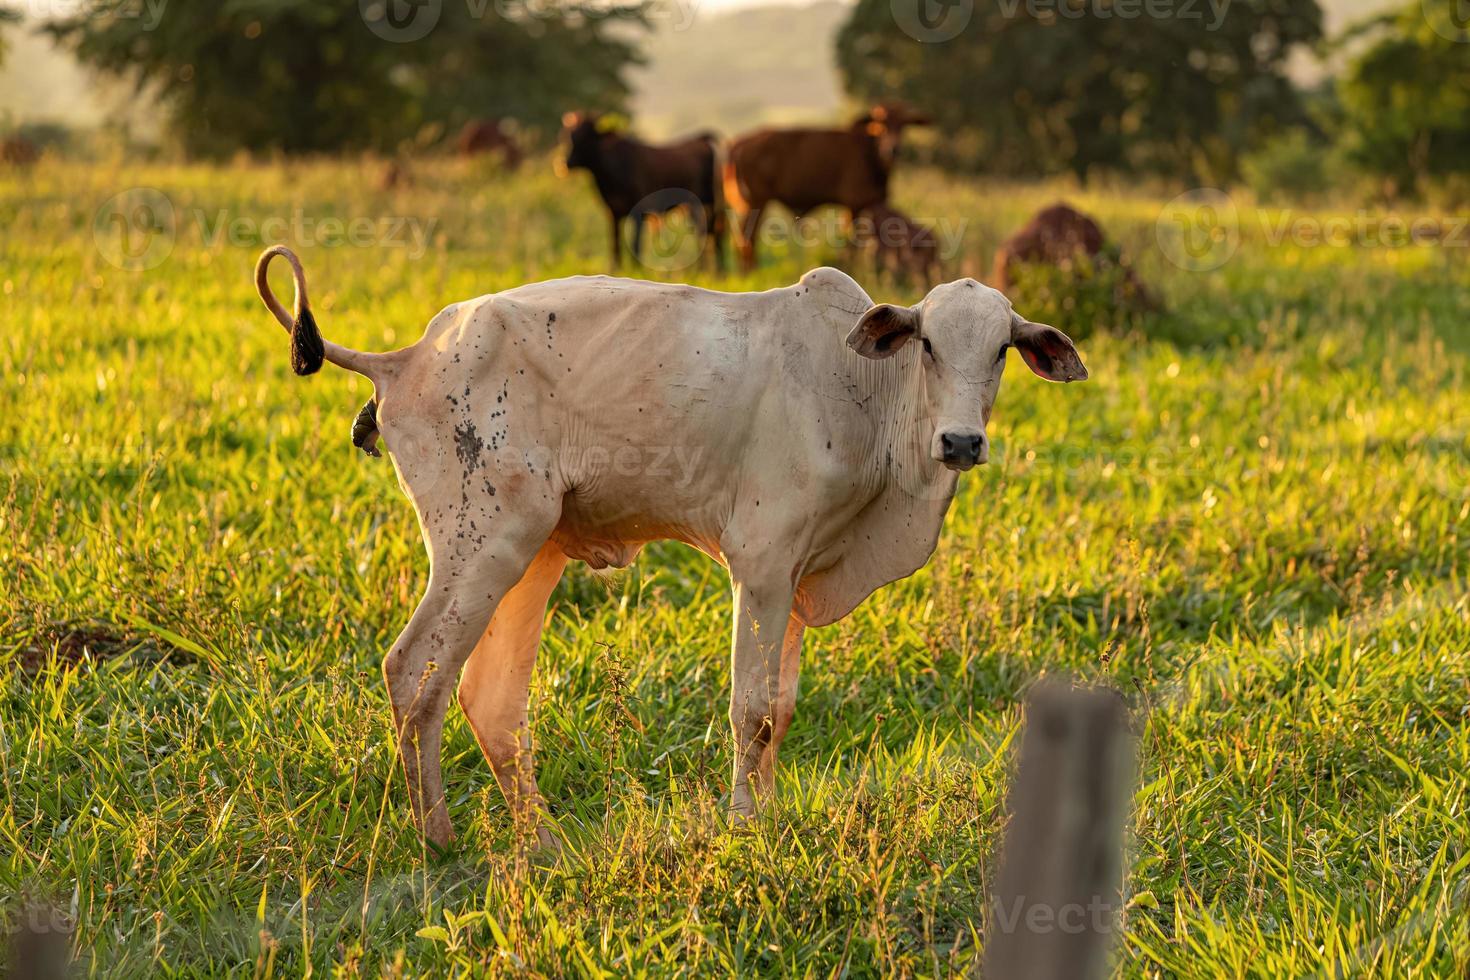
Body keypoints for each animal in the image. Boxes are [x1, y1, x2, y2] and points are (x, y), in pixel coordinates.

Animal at [252, 240, 1087, 846]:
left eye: (1002, 350)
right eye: (928, 346)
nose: (961, 442)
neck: (863, 394)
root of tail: (405, 358)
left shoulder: (795, 574)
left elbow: (781, 710)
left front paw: (768, 816)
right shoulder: (762, 562)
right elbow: (752, 710)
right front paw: (745, 826)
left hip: (529, 554)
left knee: (491, 702)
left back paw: (543, 842)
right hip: (481, 543)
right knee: (411, 672)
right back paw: (439, 840)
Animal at [561, 110, 723, 270]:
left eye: (586, 136)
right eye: (567, 136)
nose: (564, 164)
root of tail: (701, 139)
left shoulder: (639, 208)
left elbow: (635, 243)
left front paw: (637, 270)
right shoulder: (612, 211)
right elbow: (615, 242)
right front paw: (615, 269)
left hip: (704, 203)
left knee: (708, 232)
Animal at [723, 102, 929, 270]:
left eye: (903, 124)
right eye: (881, 124)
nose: (893, 150)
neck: (870, 153)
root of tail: (737, 143)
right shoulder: (853, 206)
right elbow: (850, 244)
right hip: (756, 202)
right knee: (747, 239)